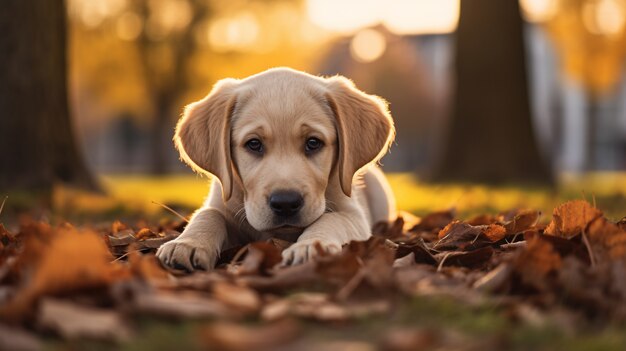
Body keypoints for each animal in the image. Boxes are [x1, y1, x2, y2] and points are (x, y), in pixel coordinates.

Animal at [156, 69, 394, 272]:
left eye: (313, 143)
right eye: (254, 144)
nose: (286, 202)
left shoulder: (353, 215)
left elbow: (332, 219)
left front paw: (310, 246)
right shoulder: (221, 200)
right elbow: (208, 214)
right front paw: (186, 244)